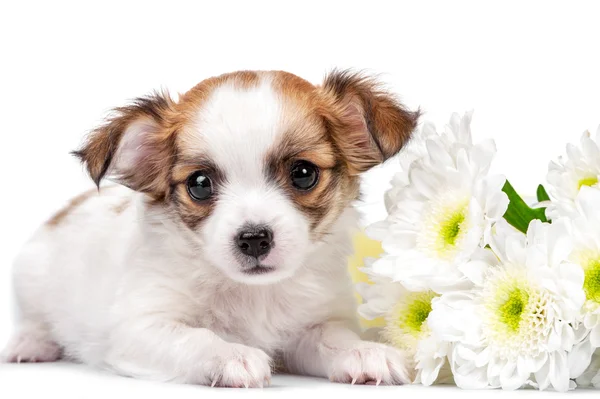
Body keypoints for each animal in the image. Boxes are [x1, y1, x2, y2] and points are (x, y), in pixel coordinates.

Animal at [2, 70, 420, 390]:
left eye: (303, 174)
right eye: (200, 184)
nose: (254, 238)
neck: (255, 294)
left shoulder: (317, 323)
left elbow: (333, 339)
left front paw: (364, 351)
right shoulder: (140, 327)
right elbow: (194, 336)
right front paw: (230, 354)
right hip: (31, 275)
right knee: (34, 317)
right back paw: (29, 343)